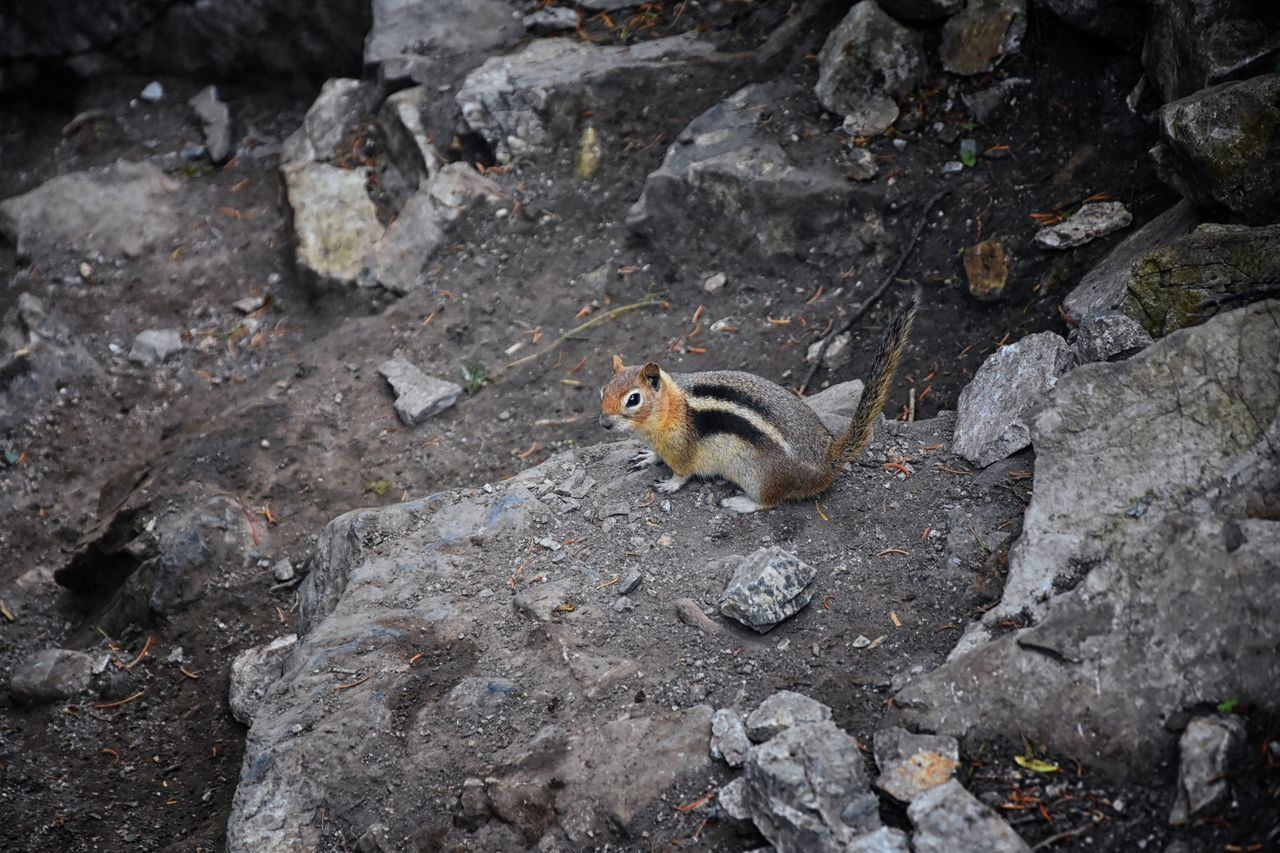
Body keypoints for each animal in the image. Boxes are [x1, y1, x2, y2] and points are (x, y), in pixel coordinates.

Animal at [601, 295, 916, 512]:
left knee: (770, 502)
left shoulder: (683, 450)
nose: (604, 423)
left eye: (633, 399)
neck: (669, 408)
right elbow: (656, 454)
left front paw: (669, 484)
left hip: (758, 477)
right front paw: (648, 457)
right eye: (603, 389)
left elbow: (682, 473)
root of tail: (828, 457)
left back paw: (740, 503)